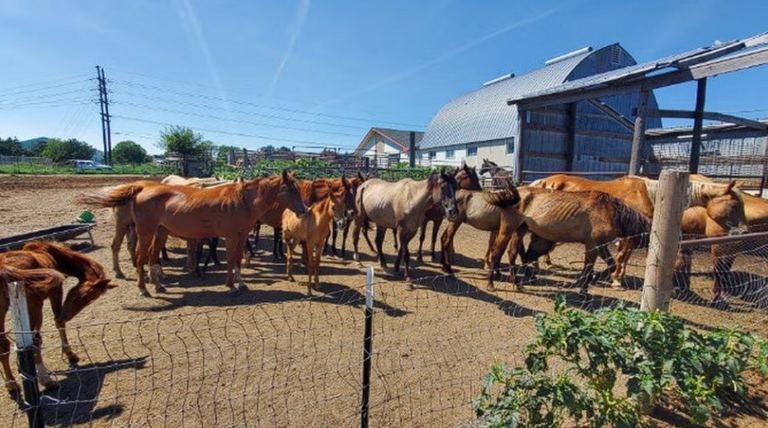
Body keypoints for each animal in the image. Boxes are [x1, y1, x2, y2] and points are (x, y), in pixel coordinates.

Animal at [0, 242, 115, 392]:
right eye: (85, 297)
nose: (65, 315)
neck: (50, 255)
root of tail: (4, 267)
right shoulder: (56, 291)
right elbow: (58, 324)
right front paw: (70, 354)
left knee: (3, 345)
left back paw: (11, 383)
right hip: (34, 306)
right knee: (34, 341)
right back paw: (46, 380)